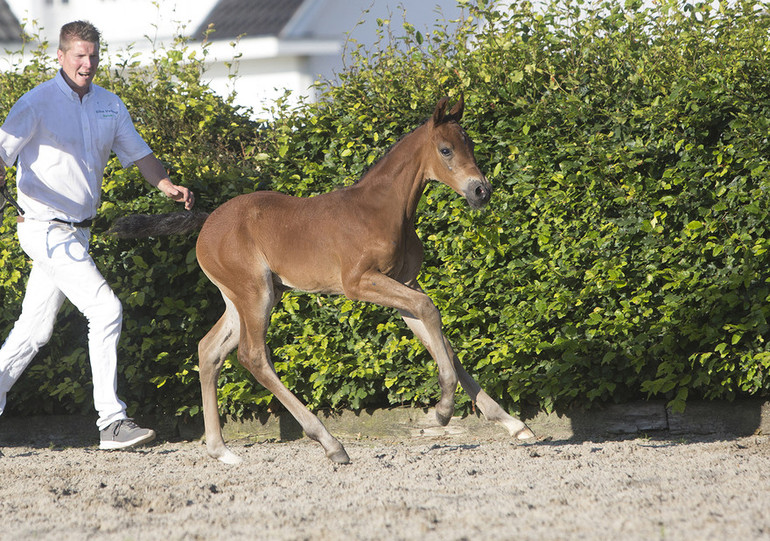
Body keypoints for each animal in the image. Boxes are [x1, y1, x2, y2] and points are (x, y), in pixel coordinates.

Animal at [114, 95, 532, 462]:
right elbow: (431, 312)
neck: (384, 209)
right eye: (445, 150)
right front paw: (441, 412)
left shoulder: (405, 284)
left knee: (210, 350)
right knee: (252, 356)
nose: (481, 190)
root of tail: (206, 224)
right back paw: (331, 443)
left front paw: (514, 424)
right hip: (255, 294)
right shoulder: (359, 283)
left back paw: (220, 450)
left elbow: (440, 338)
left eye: (470, 144)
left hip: (248, 296)